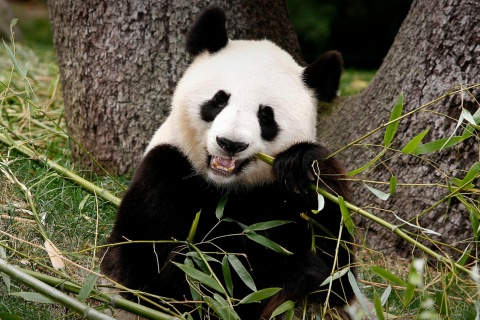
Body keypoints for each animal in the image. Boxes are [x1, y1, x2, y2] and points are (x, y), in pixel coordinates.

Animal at [99, 5, 366, 320]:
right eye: (219, 100)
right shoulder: (165, 169)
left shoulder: (278, 198)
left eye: (266, 115)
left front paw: (302, 164)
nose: (231, 143)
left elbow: (339, 265)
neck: (227, 187)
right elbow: (159, 269)